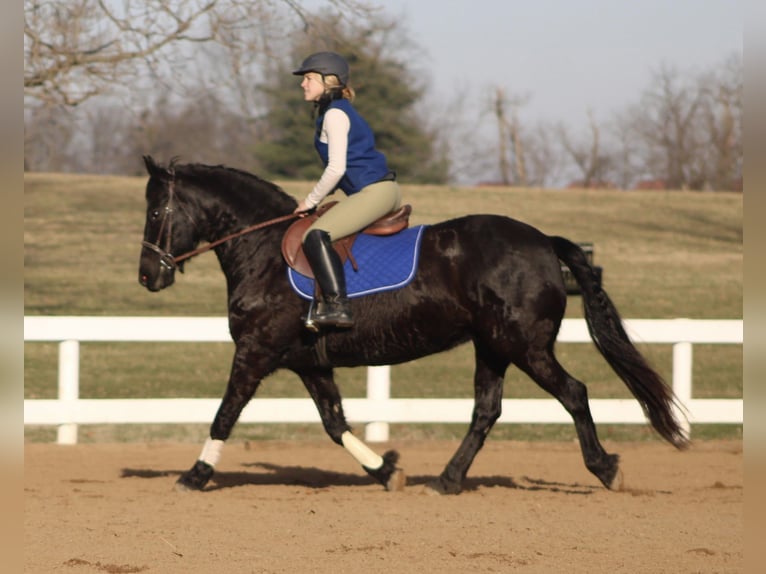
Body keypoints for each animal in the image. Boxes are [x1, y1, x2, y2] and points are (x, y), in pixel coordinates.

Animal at [138, 155, 688, 494]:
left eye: (158, 210)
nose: (147, 276)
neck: (264, 250)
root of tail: (542, 241)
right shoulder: (308, 363)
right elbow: (335, 425)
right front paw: (386, 472)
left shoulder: (255, 352)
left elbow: (224, 414)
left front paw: (194, 475)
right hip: (492, 347)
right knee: (486, 411)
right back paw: (446, 480)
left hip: (524, 346)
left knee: (573, 392)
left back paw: (606, 469)